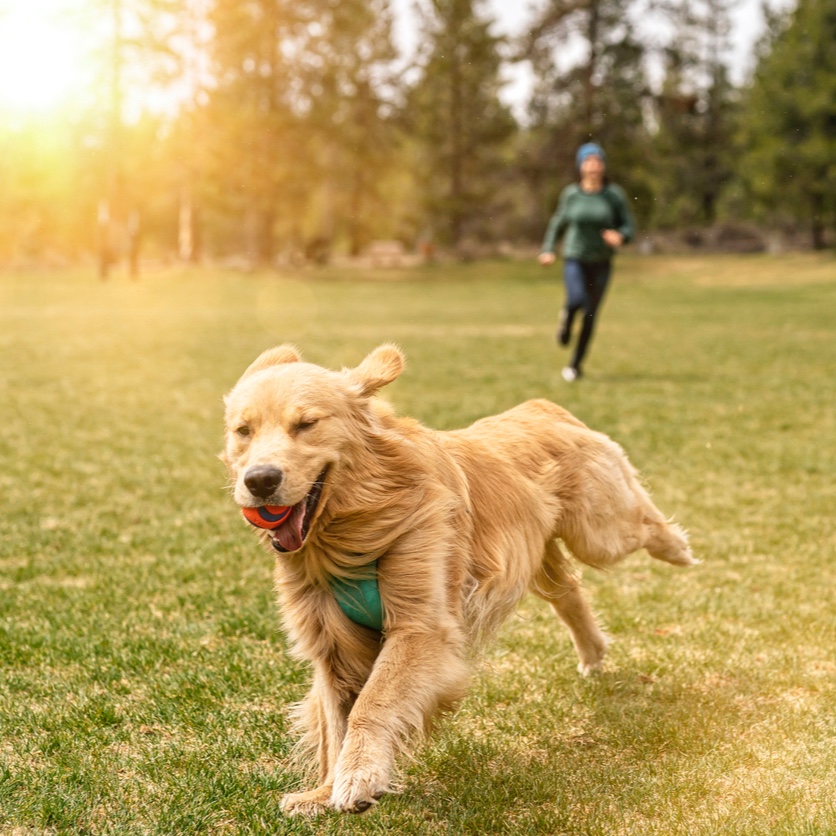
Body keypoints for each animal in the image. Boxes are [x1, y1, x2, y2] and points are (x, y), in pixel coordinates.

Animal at [220, 344, 692, 816]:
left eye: (306, 424)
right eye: (243, 431)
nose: (260, 480)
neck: (351, 533)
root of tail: (541, 406)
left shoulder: (421, 628)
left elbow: (372, 702)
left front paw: (358, 777)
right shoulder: (332, 644)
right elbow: (335, 719)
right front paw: (324, 790)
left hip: (598, 531)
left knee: (642, 525)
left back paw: (677, 548)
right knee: (569, 592)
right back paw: (593, 654)